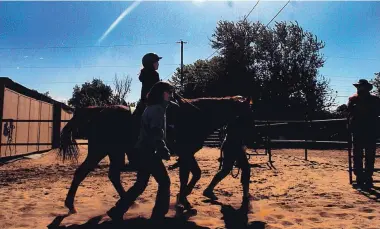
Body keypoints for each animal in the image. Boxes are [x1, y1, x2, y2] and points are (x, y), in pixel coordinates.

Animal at [59, 95, 254, 214]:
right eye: (246, 115)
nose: (249, 138)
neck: (196, 115)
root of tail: (98, 111)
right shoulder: (186, 153)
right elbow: (195, 174)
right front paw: (184, 198)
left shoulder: (186, 155)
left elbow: (188, 175)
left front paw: (183, 199)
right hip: (99, 151)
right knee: (83, 173)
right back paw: (71, 204)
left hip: (113, 152)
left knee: (110, 174)